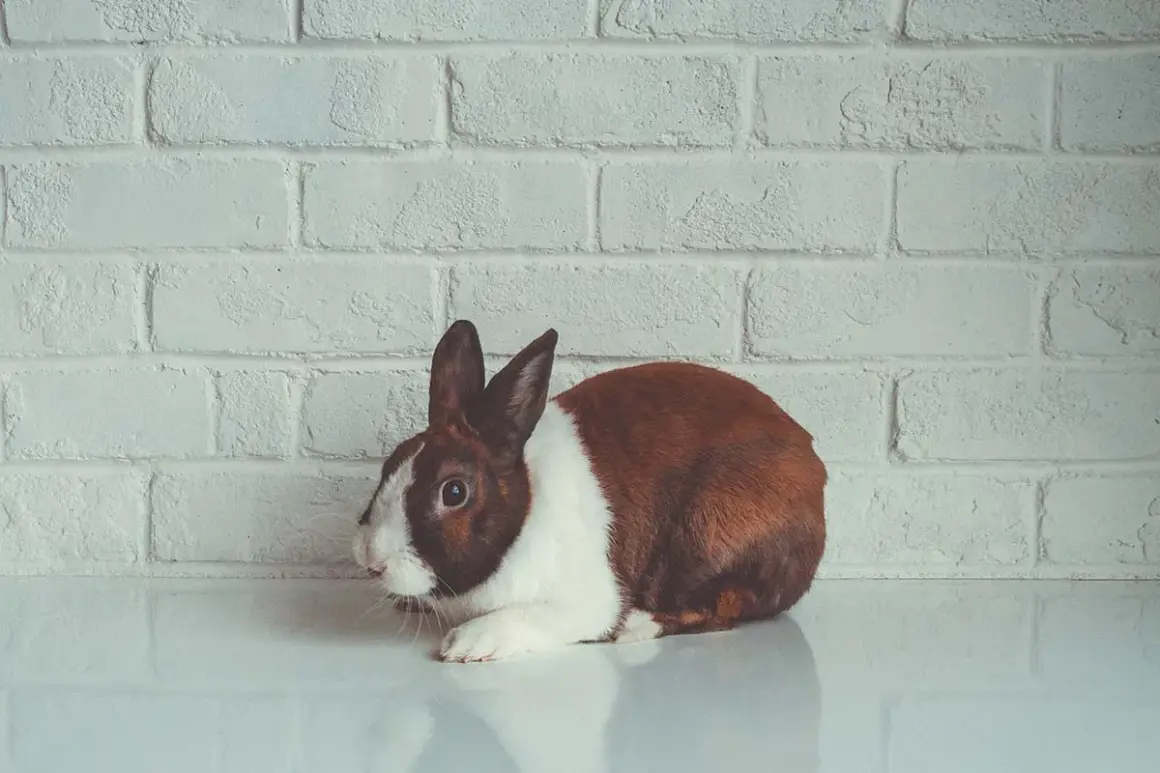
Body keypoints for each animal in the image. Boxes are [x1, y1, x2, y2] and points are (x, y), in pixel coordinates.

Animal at [353, 320, 826, 663]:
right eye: (391, 463)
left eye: (453, 492)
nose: (372, 561)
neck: (525, 512)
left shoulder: (583, 601)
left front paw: (468, 643)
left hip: (708, 536)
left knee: (725, 606)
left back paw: (636, 626)